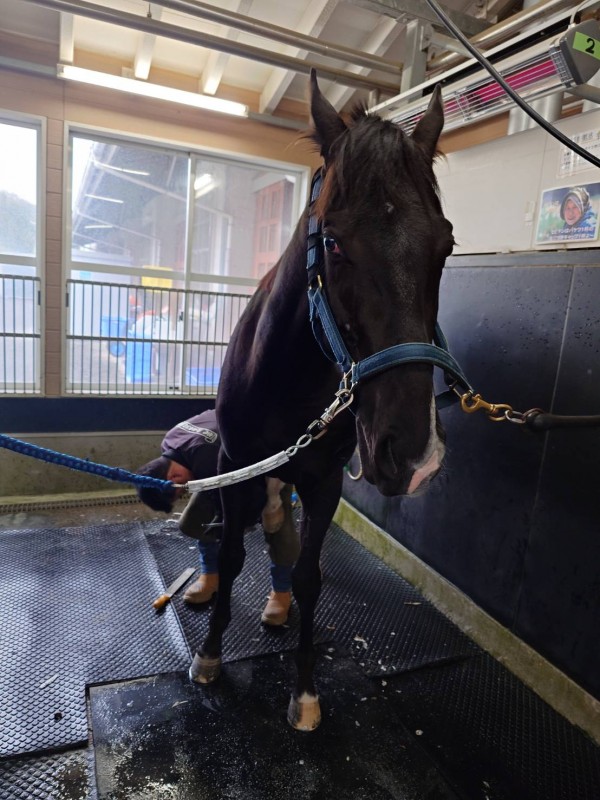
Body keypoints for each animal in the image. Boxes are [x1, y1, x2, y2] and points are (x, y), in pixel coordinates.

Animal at [189, 70, 455, 731]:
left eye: (446, 245)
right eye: (332, 241)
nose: (414, 455)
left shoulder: (324, 479)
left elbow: (309, 576)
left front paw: (305, 692)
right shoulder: (235, 466)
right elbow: (230, 553)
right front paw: (209, 655)